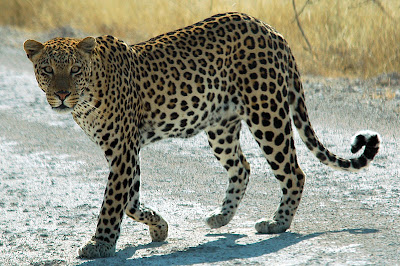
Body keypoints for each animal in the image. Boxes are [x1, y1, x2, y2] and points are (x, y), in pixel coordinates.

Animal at [23, 11, 380, 258]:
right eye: (47, 70)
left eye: (74, 70)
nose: (62, 95)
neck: (86, 97)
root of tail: (271, 30)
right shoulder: (126, 150)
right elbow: (130, 200)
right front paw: (159, 227)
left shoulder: (123, 149)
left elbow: (112, 202)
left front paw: (100, 245)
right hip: (220, 126)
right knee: (242, 167)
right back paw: (221, 218)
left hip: (267, 114)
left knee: (294, 171)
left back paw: (277, 223)